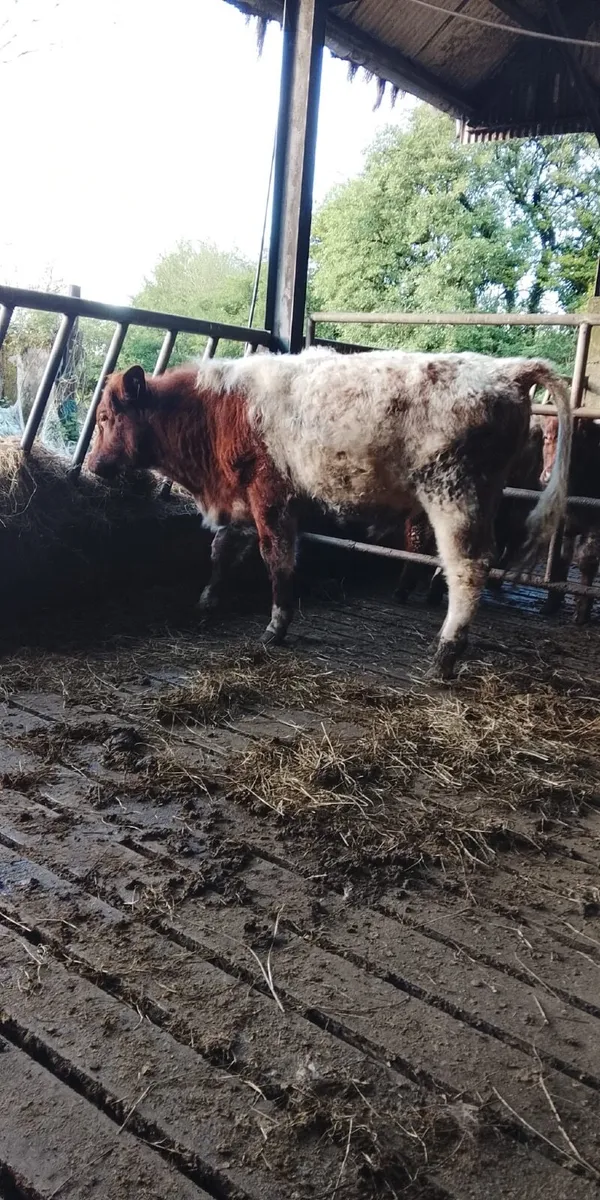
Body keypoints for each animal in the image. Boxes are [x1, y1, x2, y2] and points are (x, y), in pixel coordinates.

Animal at [86, 348, 571, 679]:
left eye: (106, 416)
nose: (93, 465)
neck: (218, 410)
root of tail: (506, 369)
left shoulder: (270, 494)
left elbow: (277, 559)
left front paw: (276, 626)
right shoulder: (243, 499)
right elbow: (222, 549)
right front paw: (209, 599)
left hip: (453, 492)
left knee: (467, 568)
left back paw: (446, 653)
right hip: (485, 496)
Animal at [540, 415, 600, 624]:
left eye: (575, 442)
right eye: (546, 438)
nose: (549, 477)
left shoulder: (596, 526)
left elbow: (586, 560)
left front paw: (582, 611)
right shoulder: (563, 523)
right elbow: (560, 556)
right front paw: (551, 602)